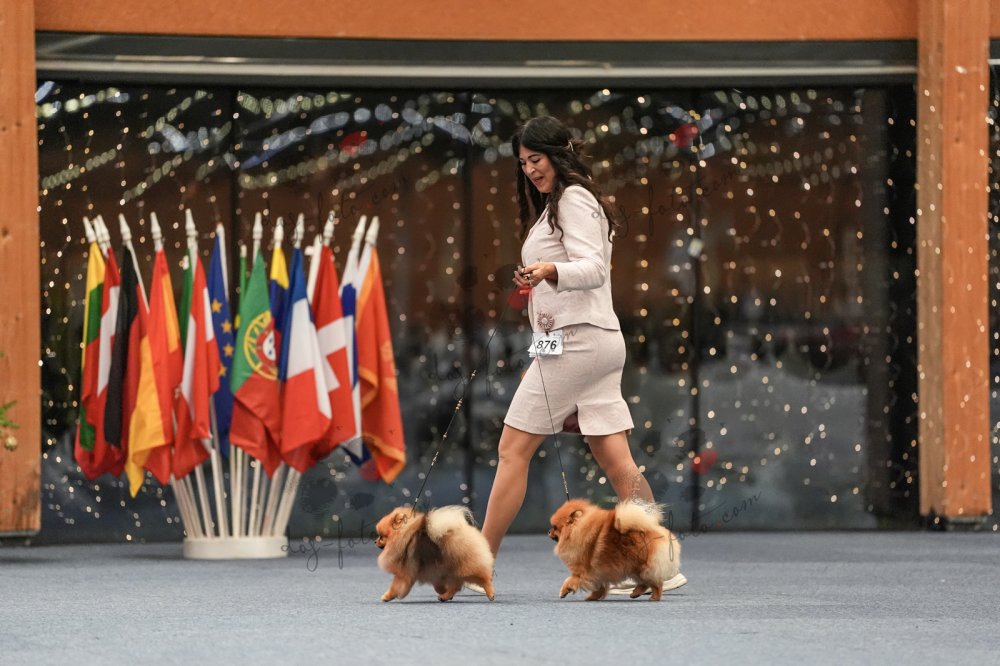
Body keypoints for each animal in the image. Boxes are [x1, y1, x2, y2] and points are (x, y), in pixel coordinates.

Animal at [548, 498, 681, 601]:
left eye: (555, 527)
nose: (549, 531)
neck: (577, 532)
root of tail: (655, 531)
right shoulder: (597, 573)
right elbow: (599, 587)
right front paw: (593, 597)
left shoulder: (583, 572)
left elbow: (569, 580)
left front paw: (564, 591)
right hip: (634, 568)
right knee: (644, 583)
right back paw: (635, 593)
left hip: (641, 566)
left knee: (656, 583)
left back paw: (654, 596)